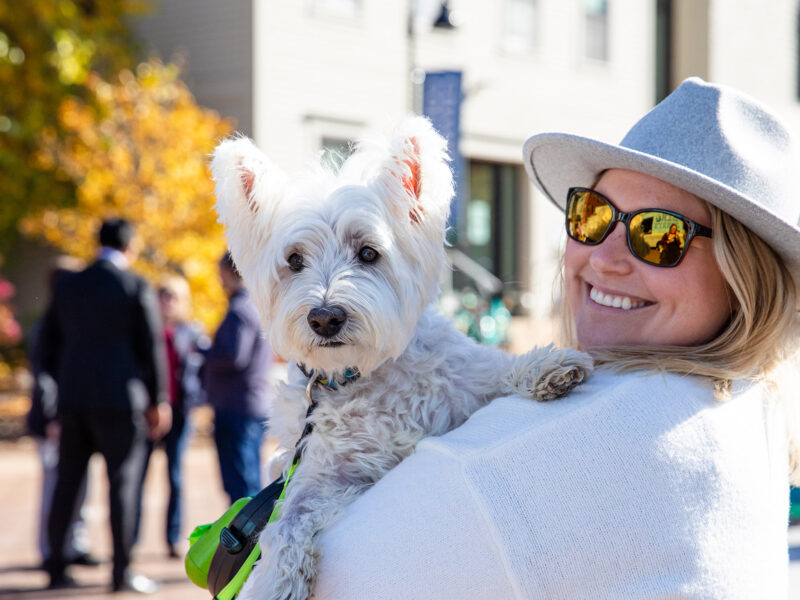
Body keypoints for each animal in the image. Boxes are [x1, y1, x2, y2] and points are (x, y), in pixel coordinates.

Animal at [209, 117, 592, 600]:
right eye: (294, 260)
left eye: (368, 253)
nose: (325, 318)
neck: (361, 374)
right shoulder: (324, 473)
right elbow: (287, 519)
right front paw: (276, 580)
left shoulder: (462, 385)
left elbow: (495, 370)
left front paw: (547, 367)